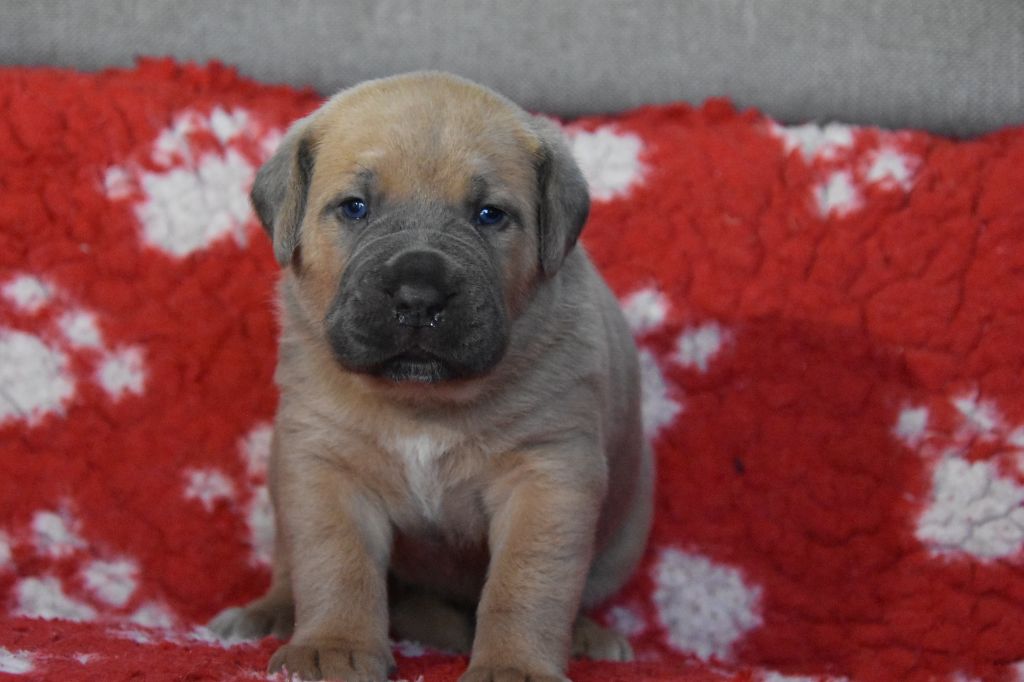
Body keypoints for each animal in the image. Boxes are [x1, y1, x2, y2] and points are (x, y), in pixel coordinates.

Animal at [208, 71, 651, 675]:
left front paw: (514, 665)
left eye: (489, 214)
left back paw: (587, 634)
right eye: (355, 208)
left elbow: (528, 582)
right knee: (288, 565)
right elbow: (335, 564)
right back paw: (267, 614)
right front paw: (333, 647)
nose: (419, 296)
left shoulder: (548, 474)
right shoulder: (323, 466)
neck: (422, 404)